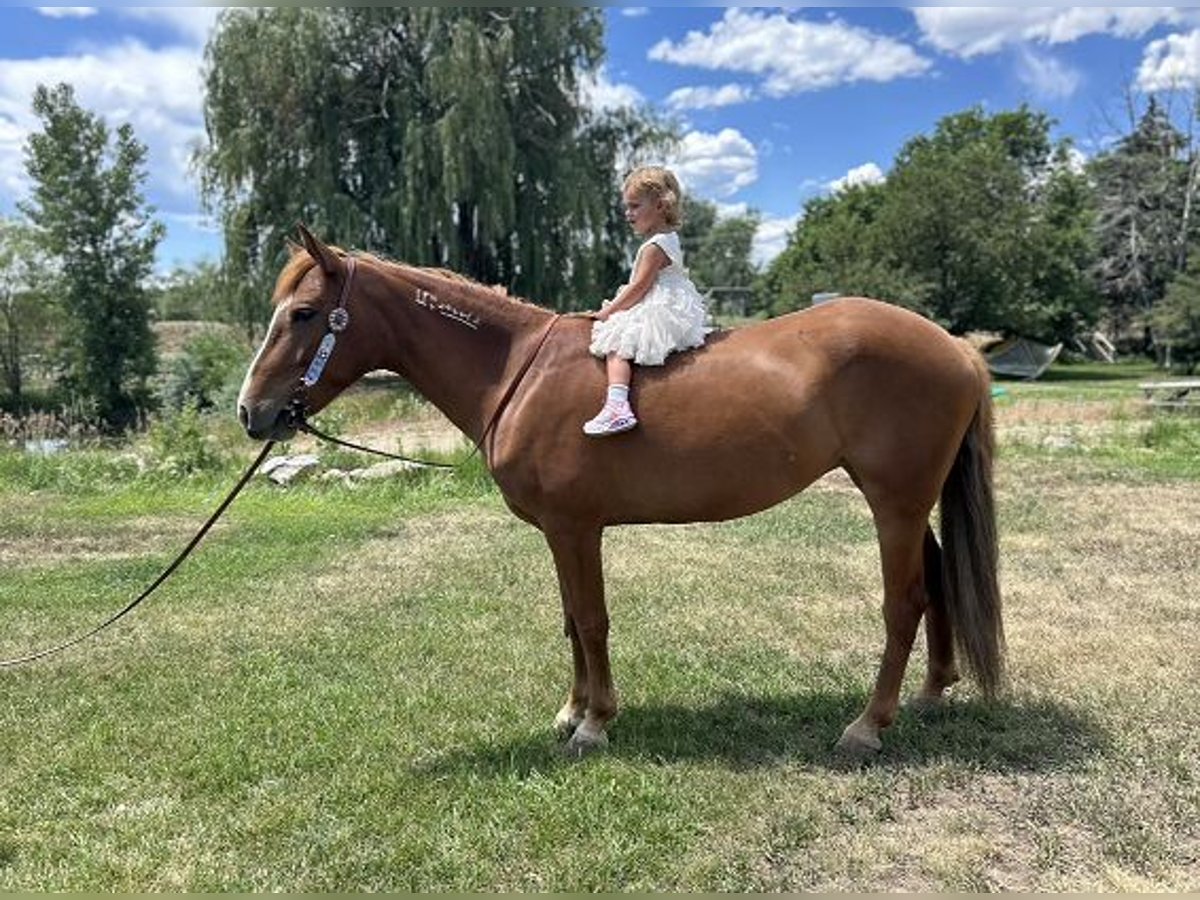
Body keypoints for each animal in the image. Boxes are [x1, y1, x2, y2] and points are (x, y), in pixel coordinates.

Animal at [237, 225, 1004, 757]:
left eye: (304, 314)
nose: (251, 412)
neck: (517, 370)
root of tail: (957, 347)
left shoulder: (576, 528)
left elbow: (591, 620)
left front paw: (595, 724)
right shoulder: (561, 532)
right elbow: (571, 622)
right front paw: (572, 712)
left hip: (894, 501)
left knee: (904, 602)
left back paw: (867, 726)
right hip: (905, 500)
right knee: (937, 579)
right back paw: (931, 694)